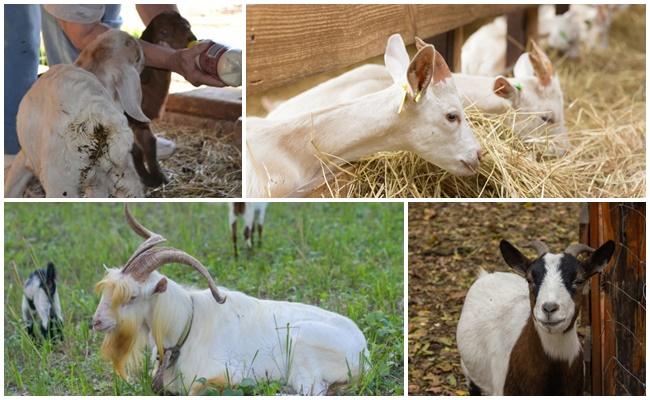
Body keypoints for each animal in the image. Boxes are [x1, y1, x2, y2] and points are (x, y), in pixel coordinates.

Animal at [4, 28, 148, 198]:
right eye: (137, 57)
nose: (145, 56)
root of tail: (96, 112)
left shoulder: (25, 156)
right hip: (118, 171)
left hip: (61, 181)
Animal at [92, 205, 368, 396]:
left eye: (132, 296)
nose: (96, 322)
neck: (186, 326)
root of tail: (363, 353)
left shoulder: (226, 373)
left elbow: (198, 389)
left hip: (302, 347)